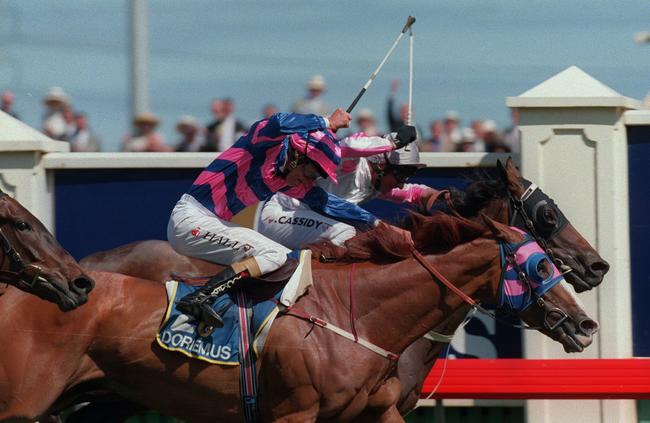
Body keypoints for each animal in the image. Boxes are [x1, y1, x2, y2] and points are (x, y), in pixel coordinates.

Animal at [1, 217, 596, 422]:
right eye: (543, 261)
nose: (585, 324)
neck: (359, 318)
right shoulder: (293, 413)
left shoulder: (375, 412)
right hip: (25, 402)